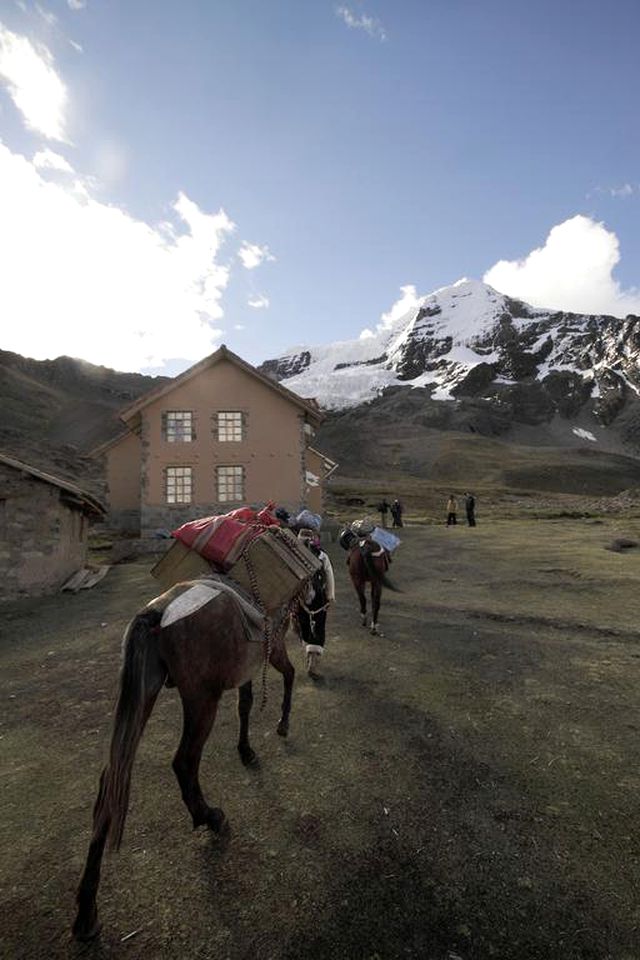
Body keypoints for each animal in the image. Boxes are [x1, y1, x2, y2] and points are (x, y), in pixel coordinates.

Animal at [72, 572, 296, 940]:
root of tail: (157, 613)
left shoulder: (248, 665)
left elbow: (245, 704)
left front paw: (246, 750)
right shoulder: (272, 647)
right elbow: (289, 676)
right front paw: (282, 723)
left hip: (145, 691)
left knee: (111, 781)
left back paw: (86, 911)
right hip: (202, 698)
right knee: (184, 761)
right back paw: (211, 817)